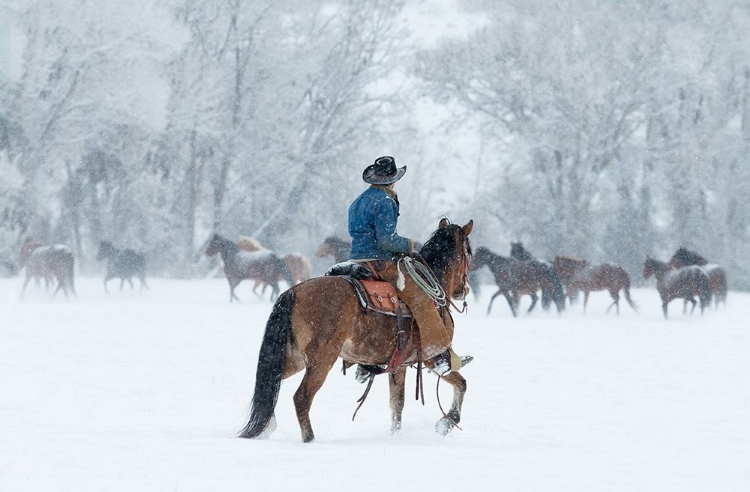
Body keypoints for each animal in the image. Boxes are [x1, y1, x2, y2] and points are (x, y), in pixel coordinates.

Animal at [239, 219, 476, 442]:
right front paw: (446, 423)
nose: (464, 290)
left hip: (293, 357)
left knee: (271, 382)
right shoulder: (429, 359)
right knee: (302, 398)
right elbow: (461, 383)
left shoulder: (399, 365)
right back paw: (309, 439)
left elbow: (397, 404)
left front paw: (396, 437)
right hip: (321, 360)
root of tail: (293, 291)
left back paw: (266, 428)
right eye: (468, 253)